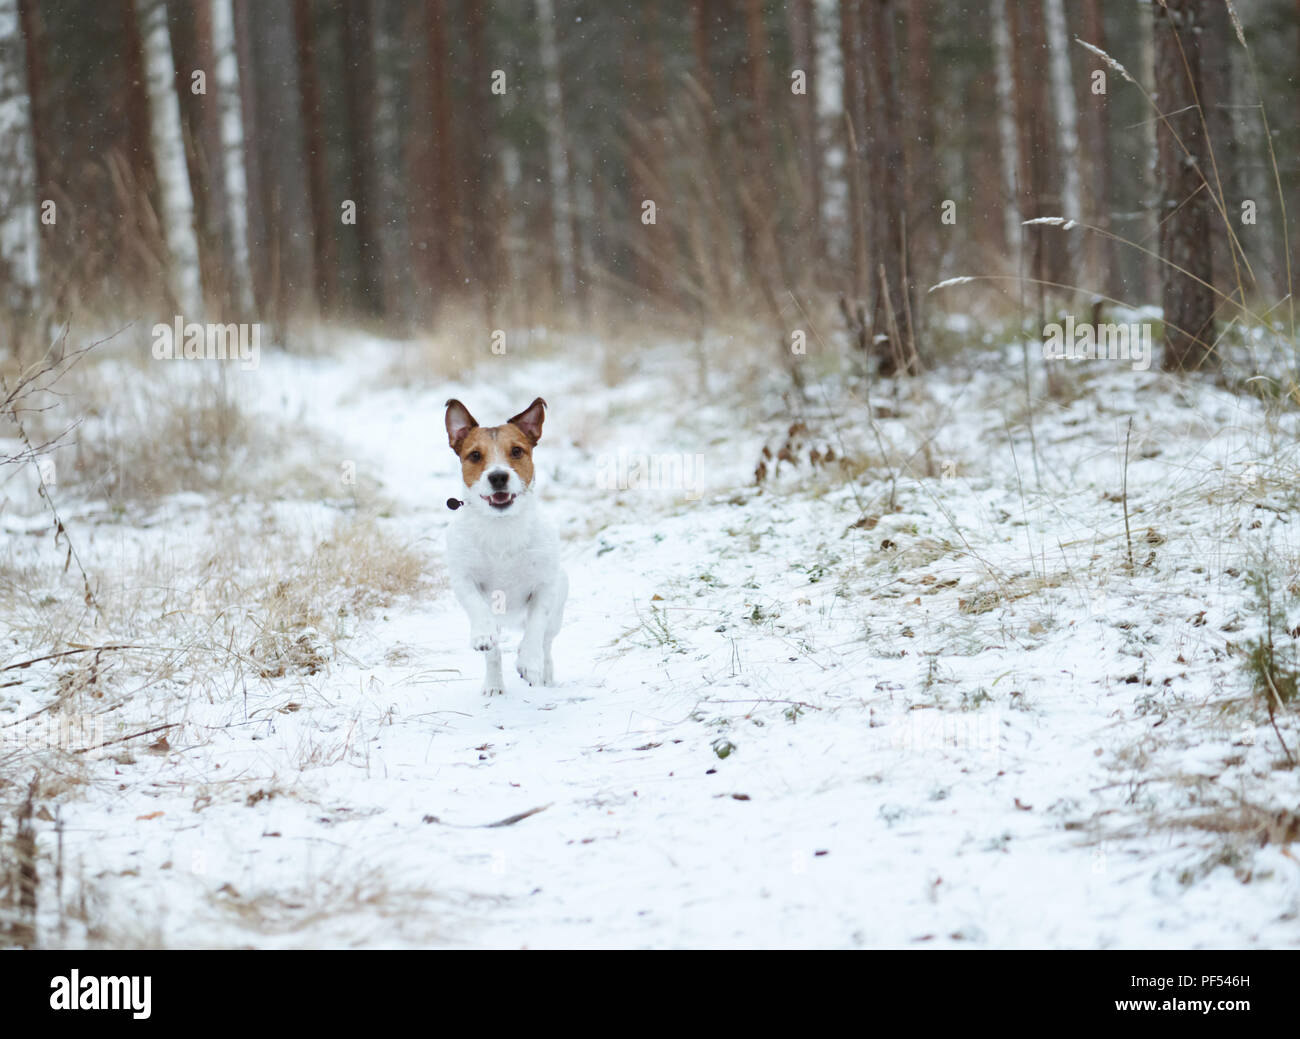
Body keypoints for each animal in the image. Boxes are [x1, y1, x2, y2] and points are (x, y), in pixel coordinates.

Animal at [444, 397, 566, 697]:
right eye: (475, 455)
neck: (501, 527)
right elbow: (477, 609)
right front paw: (482, 634)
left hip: (559, 607)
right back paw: (494, 684)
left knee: (546, 641)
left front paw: (529, 662)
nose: (498, 476)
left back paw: (543, 672)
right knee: (495, 653)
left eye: (517, 451)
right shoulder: (463, 578)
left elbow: (536, 626)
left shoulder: (545, 586)